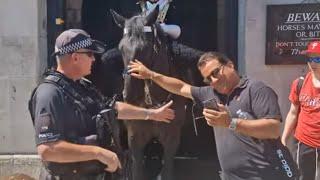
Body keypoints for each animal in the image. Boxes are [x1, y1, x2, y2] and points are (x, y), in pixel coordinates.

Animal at [106, 5, 202, 180]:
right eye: (121, 48)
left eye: (144, 49)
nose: (129, 95)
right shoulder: (135, 137)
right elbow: (137, 168)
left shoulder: (171, 138)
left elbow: (166, 170)